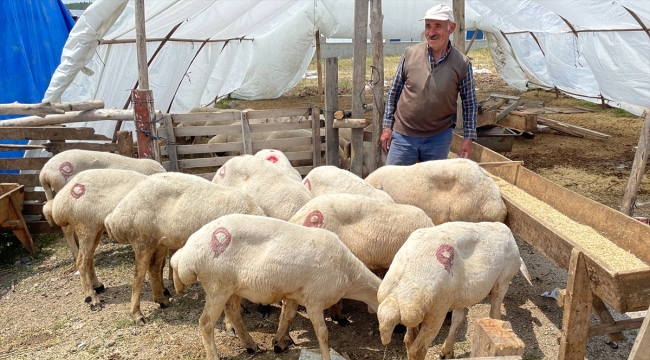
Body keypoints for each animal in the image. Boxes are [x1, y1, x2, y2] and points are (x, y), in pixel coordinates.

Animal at [43, 170, 148, 308]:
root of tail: (58, 204)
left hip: (95, 229)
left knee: (89, 258)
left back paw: (97, 286)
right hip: (84, 227)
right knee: (81, 261)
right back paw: (91, 298)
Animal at [103, 170, 264, 324]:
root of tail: (115, 216)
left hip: (160, 241)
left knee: (154, 267)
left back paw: (162, 300)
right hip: (142, 238)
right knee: (138, 276)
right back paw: (137, 314)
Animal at [170, 214, 382, 360]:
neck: (349, 275)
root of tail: (186, 253)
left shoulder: (295, 295)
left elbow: (288, 317)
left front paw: (279, 343)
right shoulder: (314, 301)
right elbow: (323, 333)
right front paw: (326, 356)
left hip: (232, 287)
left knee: (233, 313)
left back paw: (250, 345)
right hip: (216, 284)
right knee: (206, 323)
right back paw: (215, 355)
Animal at [374, 222, 532, 360]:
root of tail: (394, 296)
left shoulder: (461, 296)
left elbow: (458, 318)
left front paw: (447, 352)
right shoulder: (502, 282)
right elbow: (494, 314)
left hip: (417, 310)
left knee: (408, 340)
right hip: (437, 311)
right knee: (418, 350)